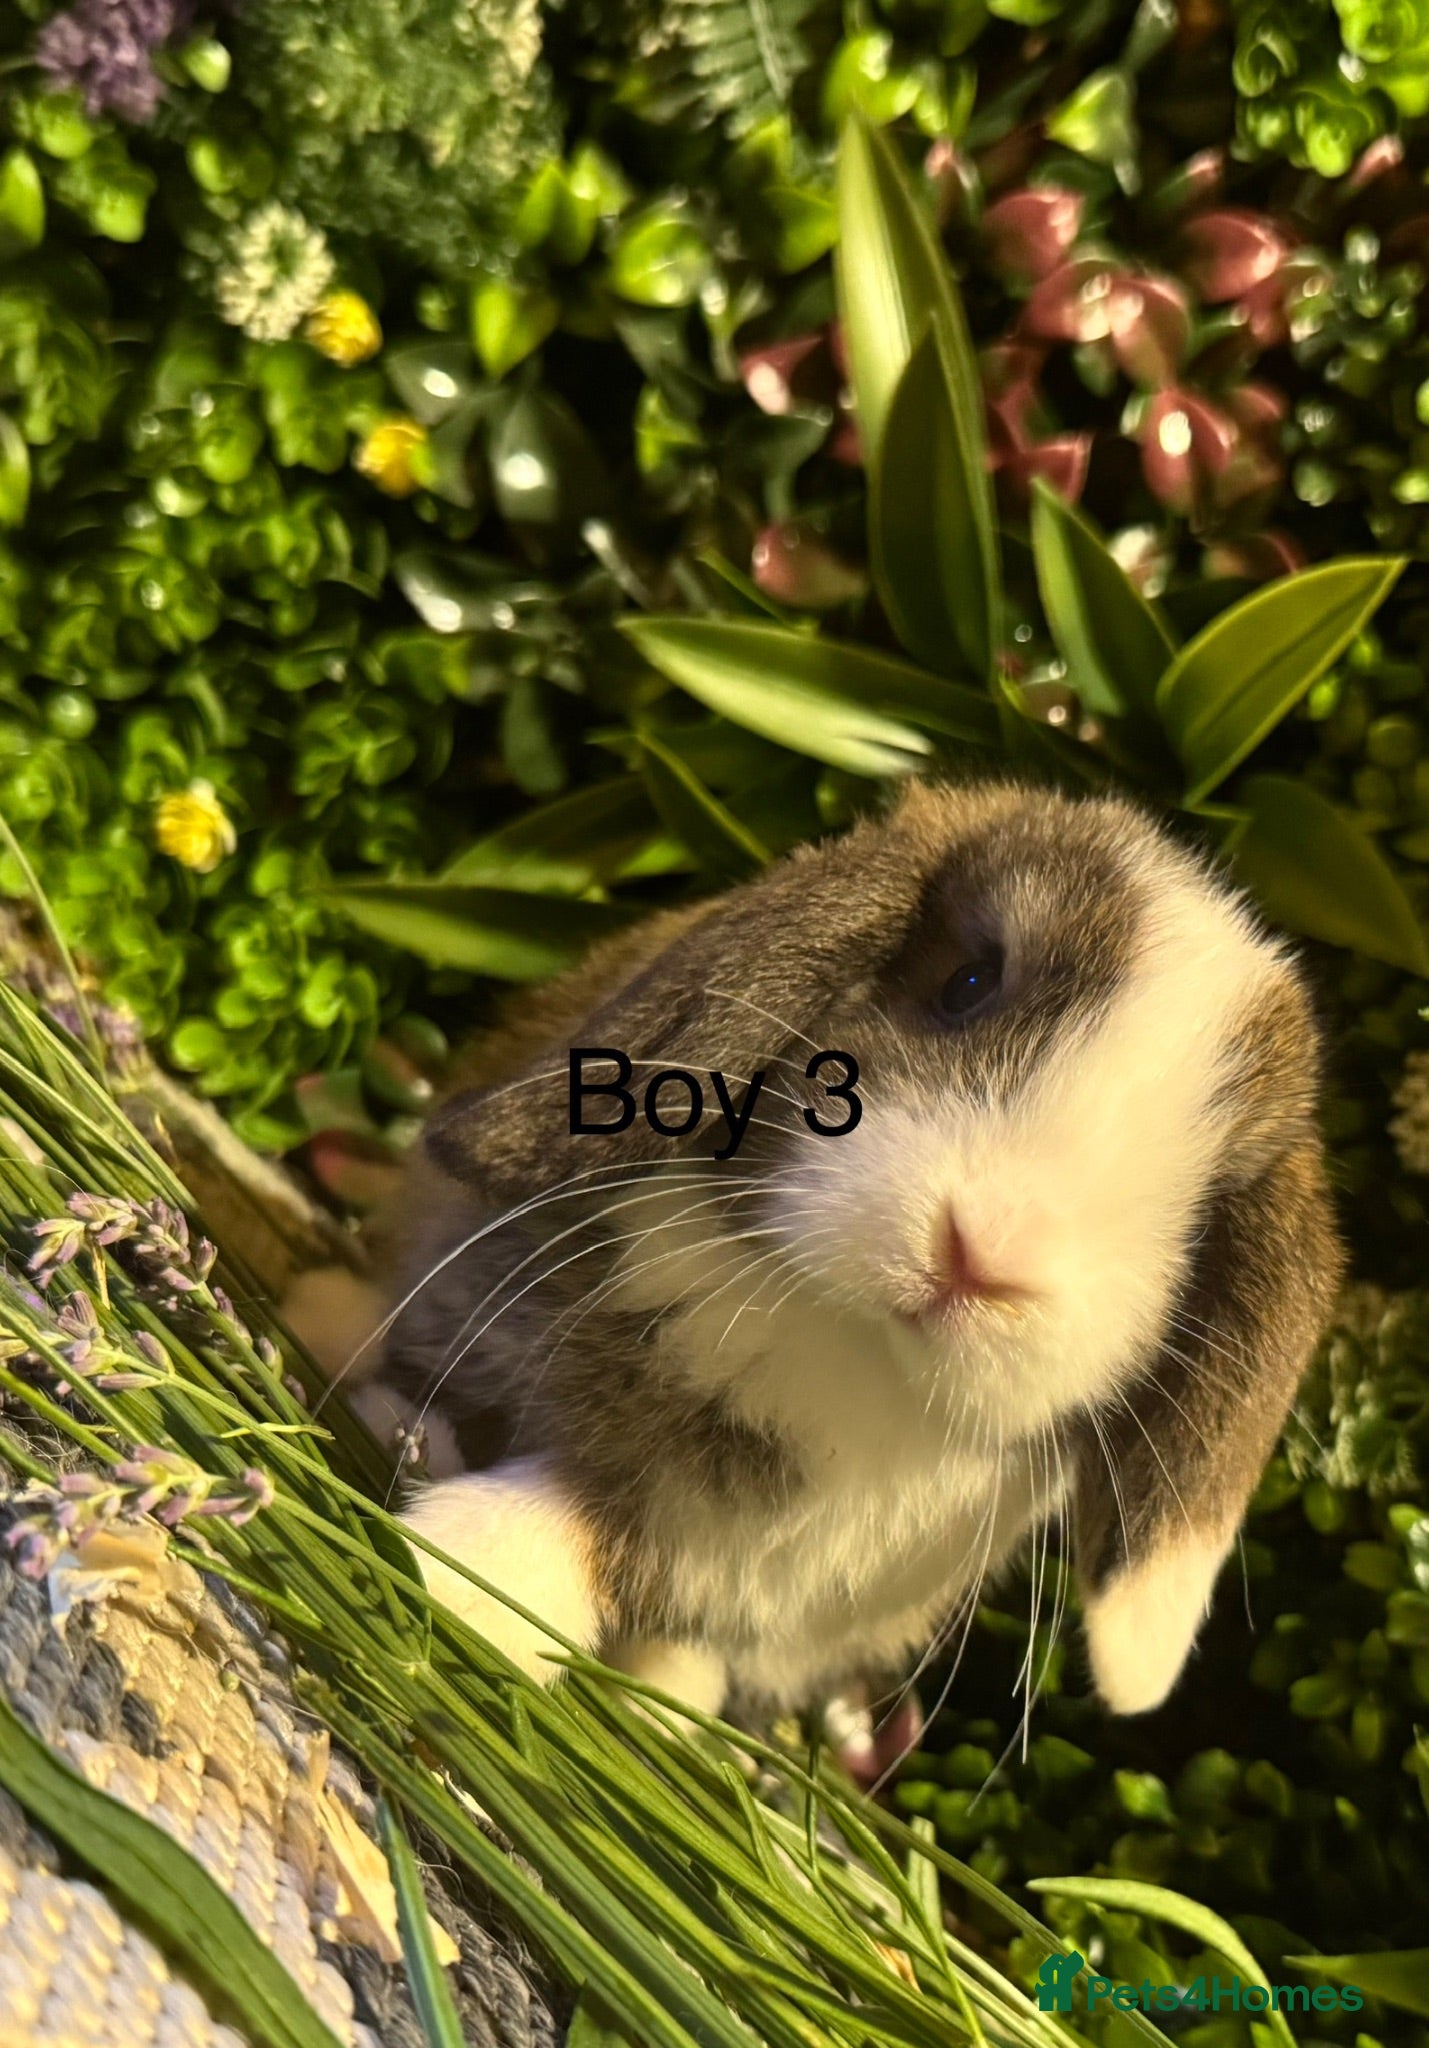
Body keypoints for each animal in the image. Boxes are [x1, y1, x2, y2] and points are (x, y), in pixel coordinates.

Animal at [296, 777, 1342, 1726]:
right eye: (966, 984)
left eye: (1201, 1213)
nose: (989, 1250)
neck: (838, 1342)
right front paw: (432, 1504)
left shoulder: (730, 1557)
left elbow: (605, 1537)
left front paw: (463, 1572)